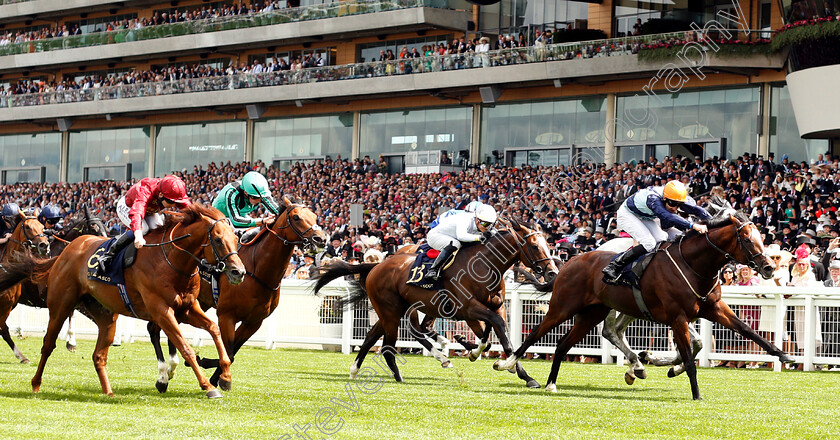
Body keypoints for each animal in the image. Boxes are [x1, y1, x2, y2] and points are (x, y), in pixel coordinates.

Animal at [147, 196, 324, 392]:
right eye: (296, 217)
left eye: (315, 216)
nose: (321, 239)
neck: (258, 269)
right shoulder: (226, 316)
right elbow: (228, 351)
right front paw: (212, 369)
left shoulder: (254, 322)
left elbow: (232, 353)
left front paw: (215, 375)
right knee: (156, 328)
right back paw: (165, 375)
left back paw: (169, 371)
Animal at [314, 218, 556, 386]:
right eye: (535, 246)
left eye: (547, 243)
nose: (552, 272)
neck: (485, 264)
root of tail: (377, 265)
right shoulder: (468, 308)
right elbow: (496, 333)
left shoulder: (494, 307)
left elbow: (497, 336)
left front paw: (516, 370)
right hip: (393, 311)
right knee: (389, 345)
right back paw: (405, 373)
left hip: (392, 311)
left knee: (372, 337)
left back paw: (355, 370)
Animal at [488, 211, 792, 400]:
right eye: (747, 239)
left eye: (763, 239)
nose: (768, 267)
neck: (694, 264)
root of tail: (569, 261)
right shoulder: (678, 317)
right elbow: (690, 356)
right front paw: (694, 392)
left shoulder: (714, 309)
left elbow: (748, 331)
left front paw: (783, 355)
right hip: (564, 306)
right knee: (537, 333)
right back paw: (509, 364)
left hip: (592, 313)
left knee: (564, 344)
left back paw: (553, 383)